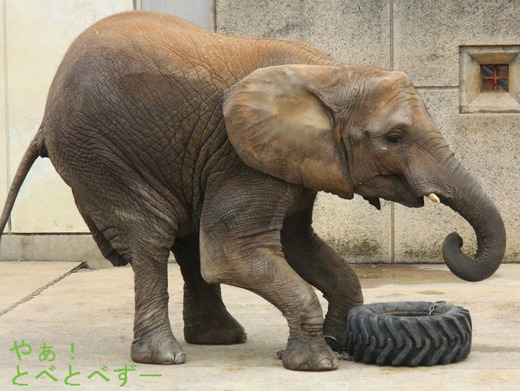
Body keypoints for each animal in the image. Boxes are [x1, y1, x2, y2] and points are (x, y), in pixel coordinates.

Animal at [0, 10, 504, 372]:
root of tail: (44, 117)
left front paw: (341, 344)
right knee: (153, 235)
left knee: (185, 238)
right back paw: (165, 358)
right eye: (395, 138)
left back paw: (218, 339)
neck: (330, 74)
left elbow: (296, 244)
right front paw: (316, 363)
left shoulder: (290, 157)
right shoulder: (240, 155)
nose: (455, 240)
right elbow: (234, 252)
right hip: (100, 154)